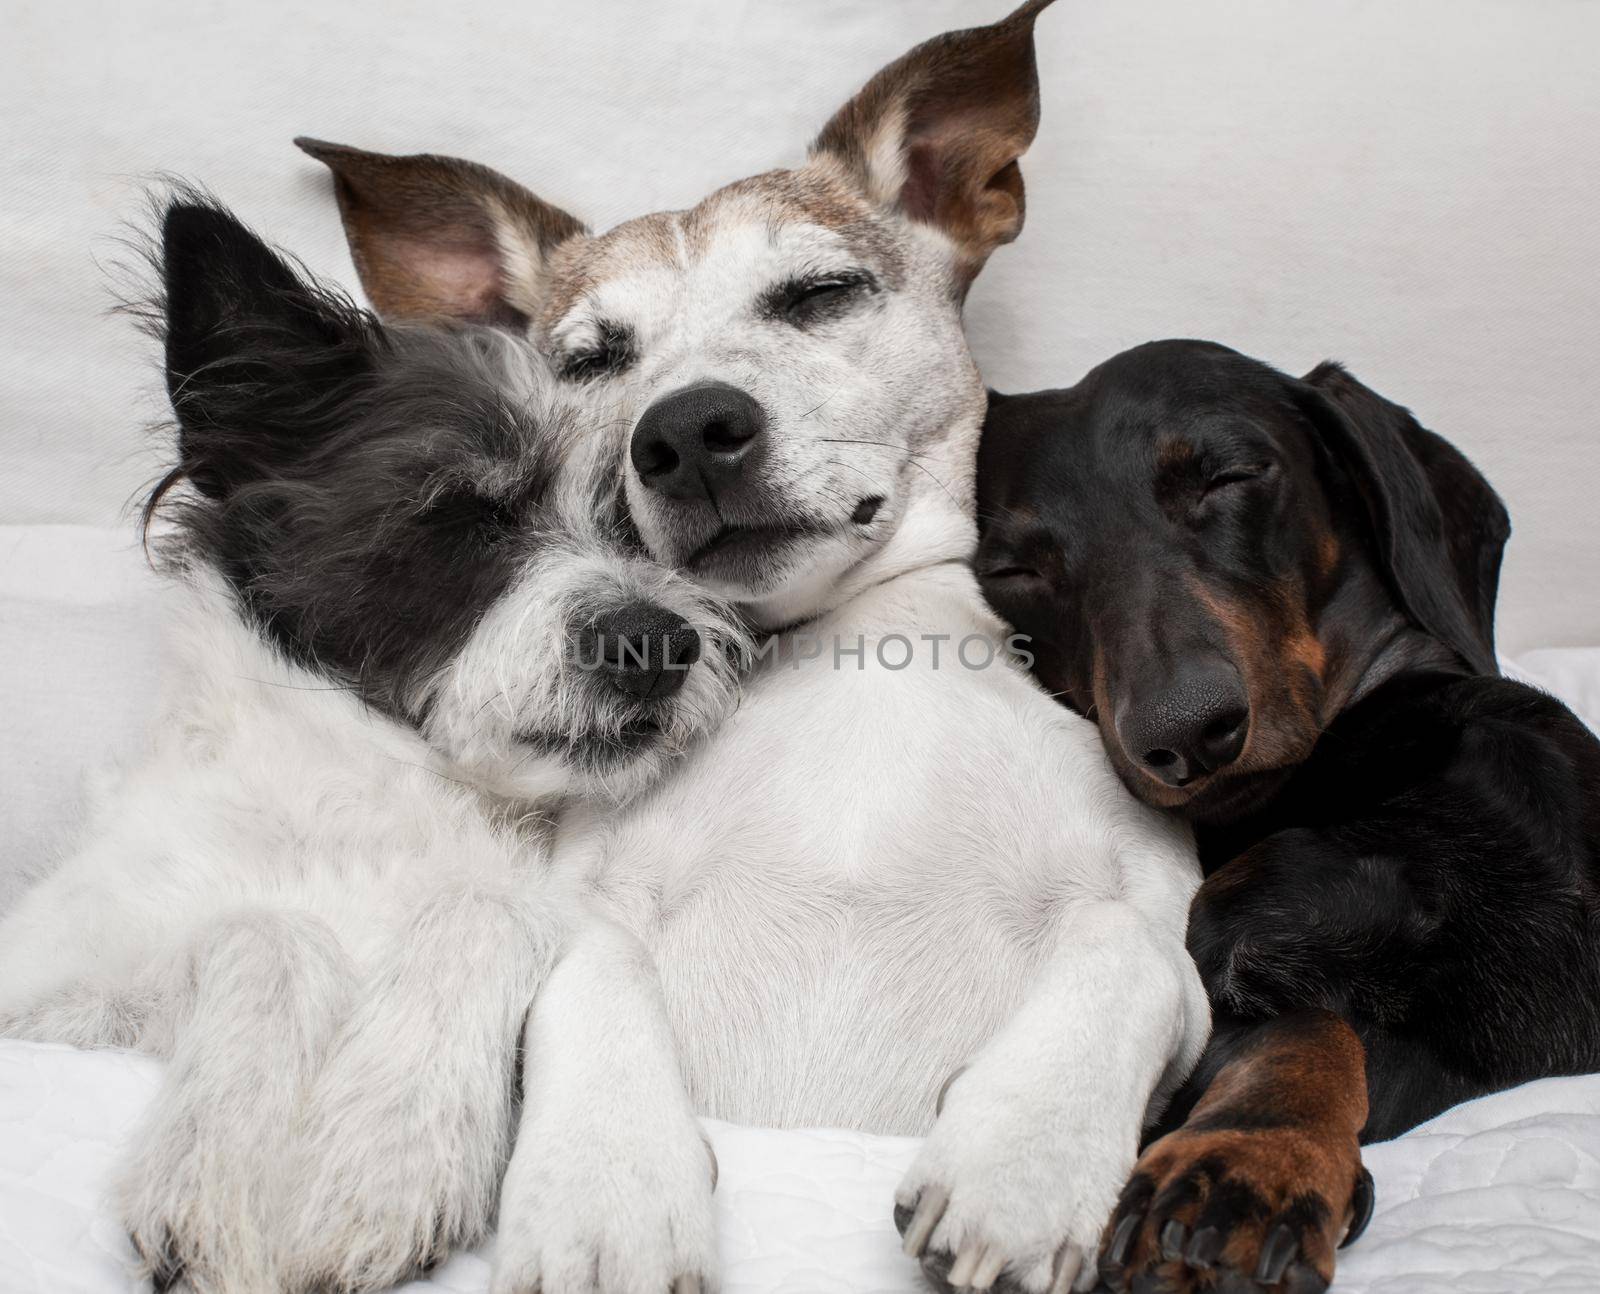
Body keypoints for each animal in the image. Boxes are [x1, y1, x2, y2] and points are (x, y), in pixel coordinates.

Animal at [308, 2, 1209, 1292]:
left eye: (819, 293)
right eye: (589, 358)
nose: (686, 431)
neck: (854, 650)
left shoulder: (1173, 937)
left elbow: (1125, 949)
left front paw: (1025, 1161)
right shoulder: (580, 914)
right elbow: (585, 985)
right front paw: (605, 1191)